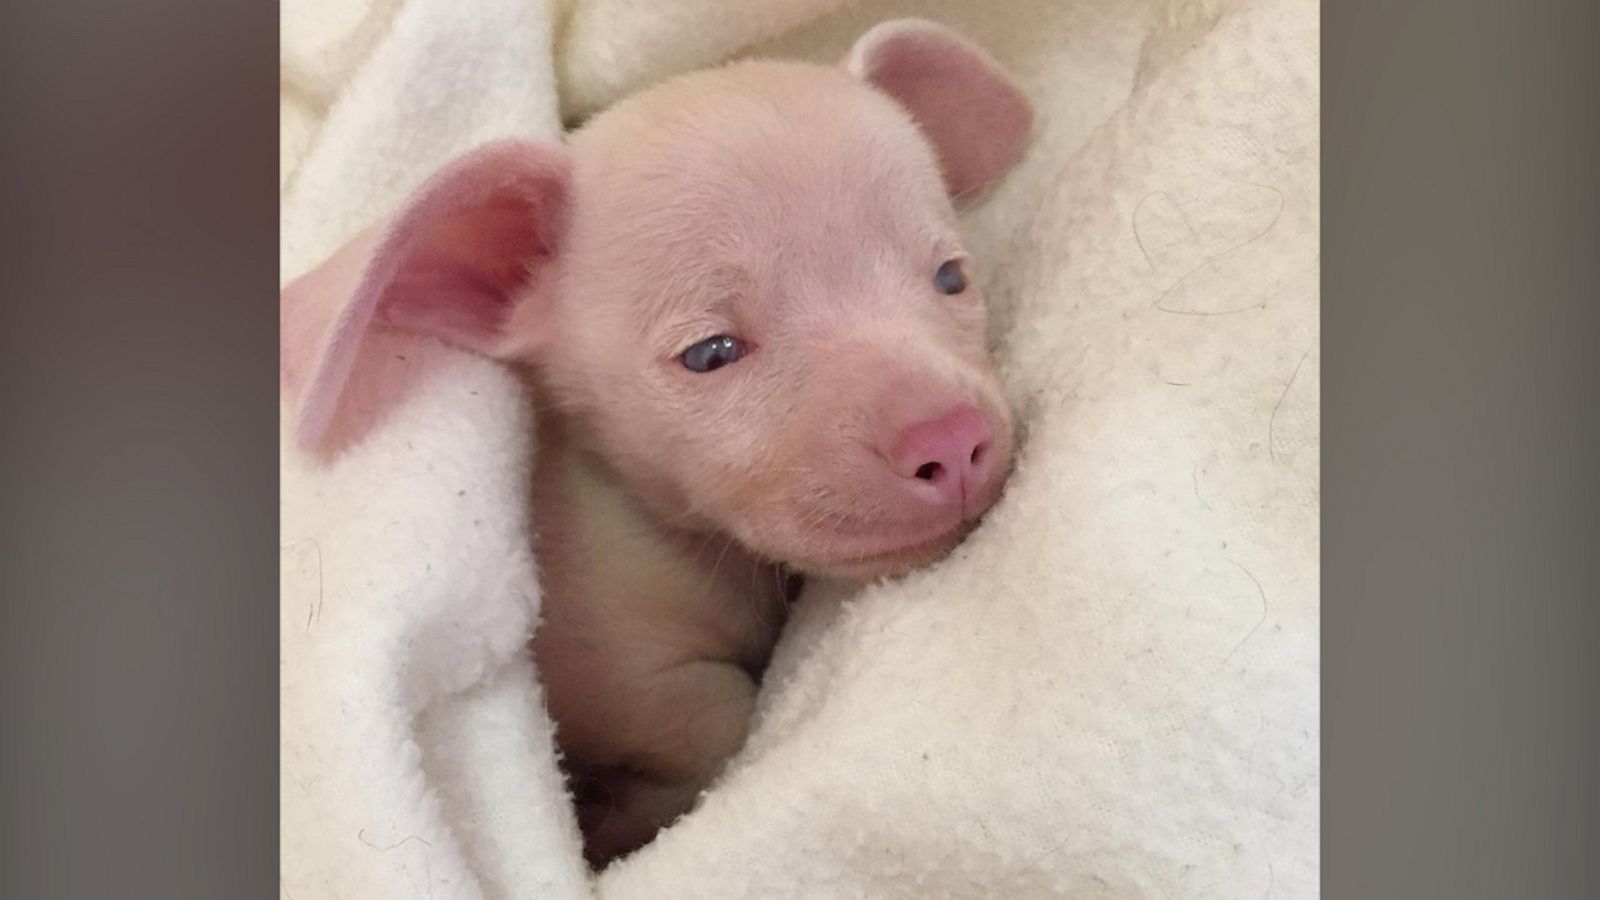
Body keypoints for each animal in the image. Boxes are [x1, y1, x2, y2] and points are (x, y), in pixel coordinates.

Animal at [282, 19, 1032, 867]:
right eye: (710, 353)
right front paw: (614, 820)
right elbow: (715, 716)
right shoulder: (605, 648)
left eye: (950, 277)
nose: (954, 440)